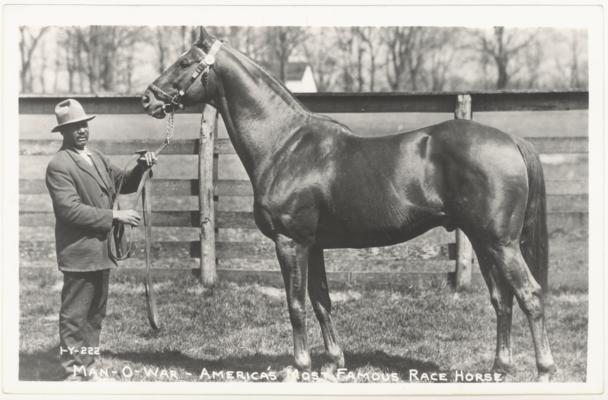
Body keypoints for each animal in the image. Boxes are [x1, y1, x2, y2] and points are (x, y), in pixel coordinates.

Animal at [141, 28, 556, 382]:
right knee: (503, 299)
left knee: (530, 295)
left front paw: (300, 367)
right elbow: (322, 301)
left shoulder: (290, 243)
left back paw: (544, 370)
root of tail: (510, 140)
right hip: (484, 242)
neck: (285, 145)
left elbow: (295, 305)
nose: (147, 98)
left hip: (501, 243)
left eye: (184, 62)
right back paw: (500, 368)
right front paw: (333, 363)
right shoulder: (314, 245)